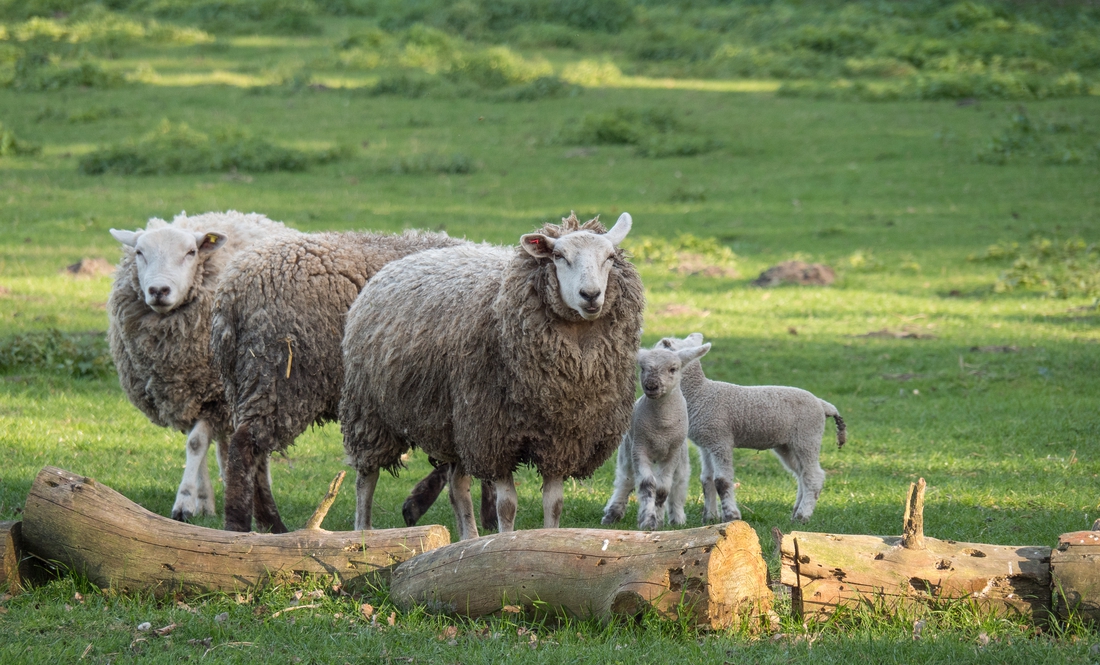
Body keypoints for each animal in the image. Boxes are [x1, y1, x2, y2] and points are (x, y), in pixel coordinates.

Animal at [103, 209, 288, 521]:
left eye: (191, 252)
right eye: (140, 252)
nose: (159, 290)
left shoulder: (214, 395)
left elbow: (196, 444)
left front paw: (184, 502)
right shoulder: (186, 392)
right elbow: (196, 444)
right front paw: (201, 500)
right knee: (224, 444)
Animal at [210, 228, 464, 534]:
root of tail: (230, 294)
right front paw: (421, 504)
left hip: (247, 381)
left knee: (256, 450)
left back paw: (272, 526)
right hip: (281, 375)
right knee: (245, 446)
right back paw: (238, 525)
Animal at [338, 211, 642, 538]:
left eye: (609, 257)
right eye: (559, 256)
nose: (591, 295)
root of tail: (408, 256)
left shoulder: (560, 441)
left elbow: (554, 504)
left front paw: (549, 536)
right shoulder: (494, 437)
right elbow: (506, 506)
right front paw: (504, 541)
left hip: (455, 424)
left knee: (457, 486)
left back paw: (468, 539)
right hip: (370, 412)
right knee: (366, 478)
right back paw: (362, 532)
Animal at [602, 342, 712, 529]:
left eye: (673, 369)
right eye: (642, 368)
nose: (651, 385)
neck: (661, 427)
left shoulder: (672, 453)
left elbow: (662, 489)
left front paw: (657, 520)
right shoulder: (639, 448)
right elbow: (647, 485)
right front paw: (647, 521)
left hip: (682, 457)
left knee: (678, 484)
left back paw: (676, 518)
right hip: (627, 450)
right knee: (625, 481)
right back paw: (612, 514)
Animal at [655, 334, 844, 521]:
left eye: (663, 346)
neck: (700, 393)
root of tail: (823, 405)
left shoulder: (720, 440)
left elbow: (722, 481)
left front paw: (731, 516)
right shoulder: (706, 444)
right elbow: (706, 479)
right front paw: (710, 518)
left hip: (807, 437)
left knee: (814, 476)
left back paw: (803, 515)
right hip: (787, 445)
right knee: (802, 474)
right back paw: (796, 512)